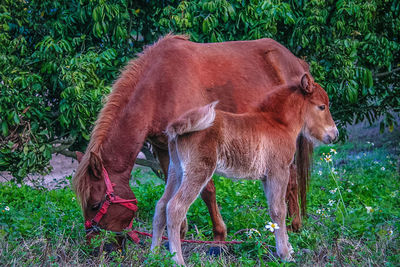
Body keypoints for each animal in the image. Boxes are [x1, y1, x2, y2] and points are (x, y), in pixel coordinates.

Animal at [72, 34, 316, 250]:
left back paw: (294, 226)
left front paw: (218, 238)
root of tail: (295, 61)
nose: (97, 247)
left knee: (291, 177)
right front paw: (177, 235)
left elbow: (207, 191)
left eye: (95, 204)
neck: (159, 87)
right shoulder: (165, 149)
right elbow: (171, 188)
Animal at [150, 74, 338, 266]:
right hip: (198, 171)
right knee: (175, 208)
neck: (278, 123)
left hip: (176, 171)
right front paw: (285, 254)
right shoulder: (278, 171)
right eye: (322, 106)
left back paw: (153, 255)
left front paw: (287, 248)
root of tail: (177, 128)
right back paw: (178, 260)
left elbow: (275, 208)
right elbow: (279, 210)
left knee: (161, 205)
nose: (335, 135)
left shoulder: (266, 177)